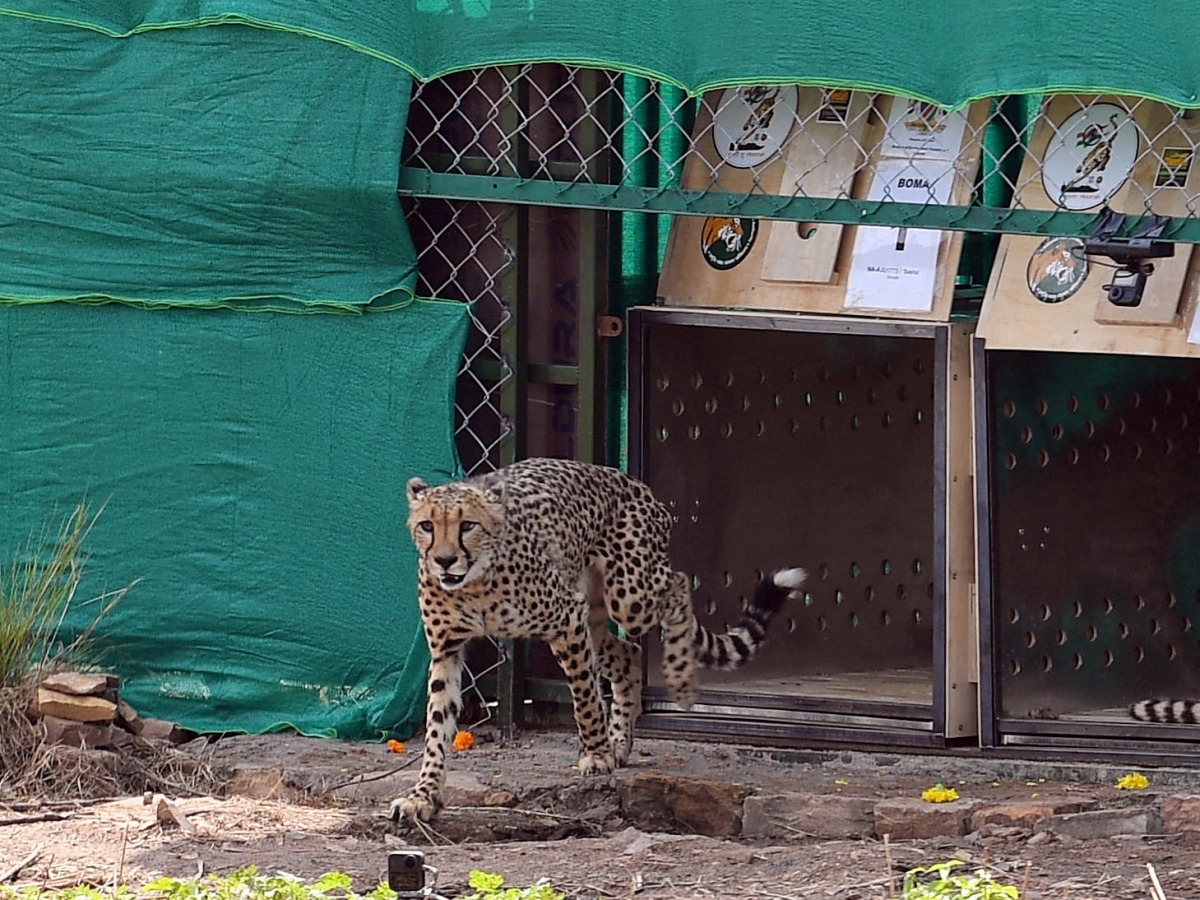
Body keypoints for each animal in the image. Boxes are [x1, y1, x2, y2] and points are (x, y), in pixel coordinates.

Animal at [391, 458, 806, 825]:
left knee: (678, 586)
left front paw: (596, 753)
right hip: (597, 617)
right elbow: (437, 727)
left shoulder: (566, 620)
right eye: (427, 525)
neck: (473, 584)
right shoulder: (446, 650)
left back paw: (678, 679)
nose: (444, 560)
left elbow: (585, 697)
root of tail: (631, 481)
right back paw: (622, 741)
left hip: (630, 596)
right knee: (630, 652)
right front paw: (423, 796)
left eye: (468, 525)